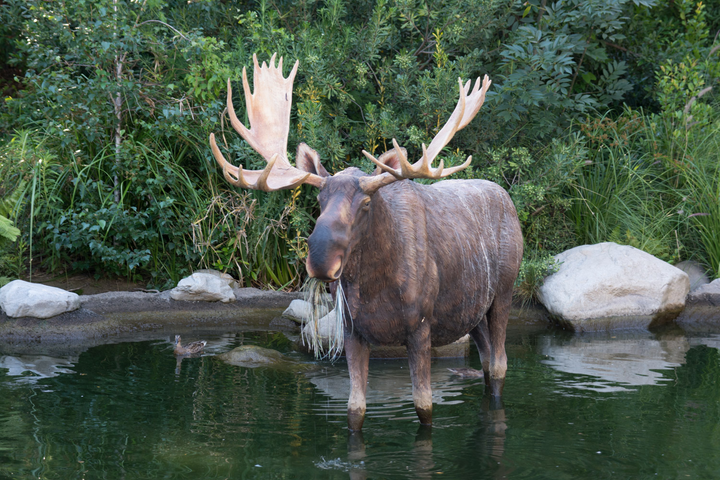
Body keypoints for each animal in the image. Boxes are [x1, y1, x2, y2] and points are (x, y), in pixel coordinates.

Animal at [209, 53, 523, 431]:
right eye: (319, 200)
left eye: (366, 203)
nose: (321, 259)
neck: (376, 287)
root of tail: (507, 198)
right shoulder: (353, 331)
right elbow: (355, 409)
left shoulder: (420, 327)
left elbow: (424, 407)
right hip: (472, 309)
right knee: (488, 358)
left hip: (503, 291)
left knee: (500, 363)